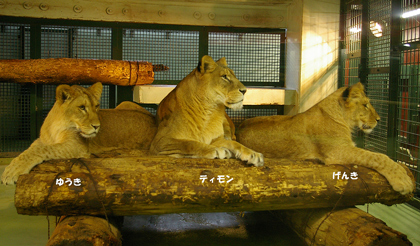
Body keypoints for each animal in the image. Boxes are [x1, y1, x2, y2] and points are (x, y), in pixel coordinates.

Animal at [1, 82, 158, 184]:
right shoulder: (42, 140)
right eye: (82, 107)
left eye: (97, 106)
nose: (97, 126)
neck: (56, 125)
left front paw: (11, 172)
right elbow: (30, 150)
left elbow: (43, 150)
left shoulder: (76, 146)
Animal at [236, 82, 414, 194]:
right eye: (365, 105)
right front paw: (402, 179)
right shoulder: (337, 151)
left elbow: (376, 155)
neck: (343, 118)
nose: (379, 119)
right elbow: (377, 156)